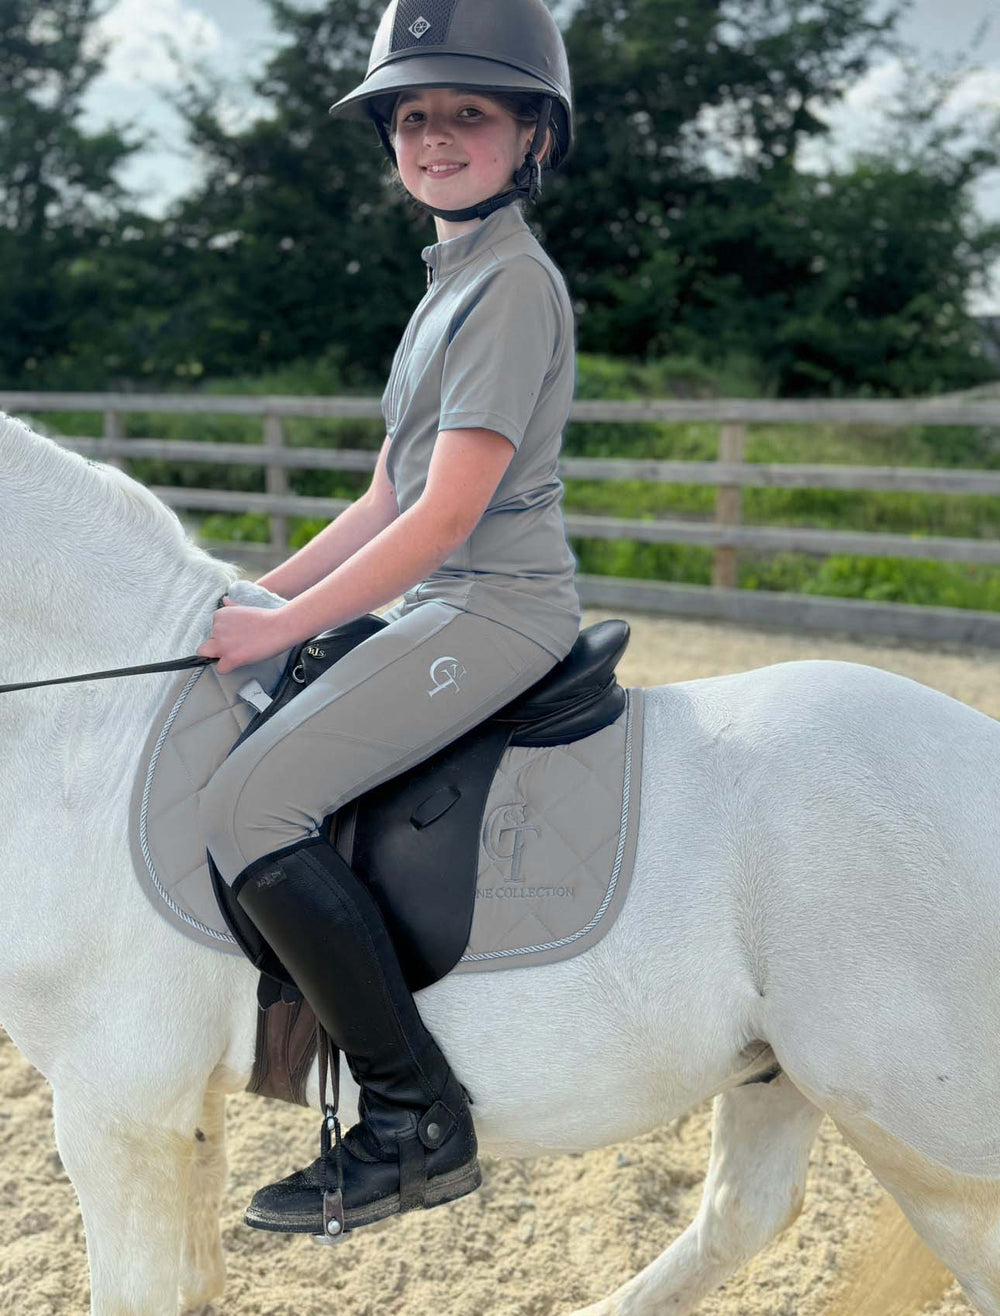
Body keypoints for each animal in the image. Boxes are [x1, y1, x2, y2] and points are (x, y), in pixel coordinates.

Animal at [1, 411, 999, 1316]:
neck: (96, 726)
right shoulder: (174, 1111)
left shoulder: (118, 1106)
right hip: (780, 1071)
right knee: (741, 1215)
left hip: (929, 1142)